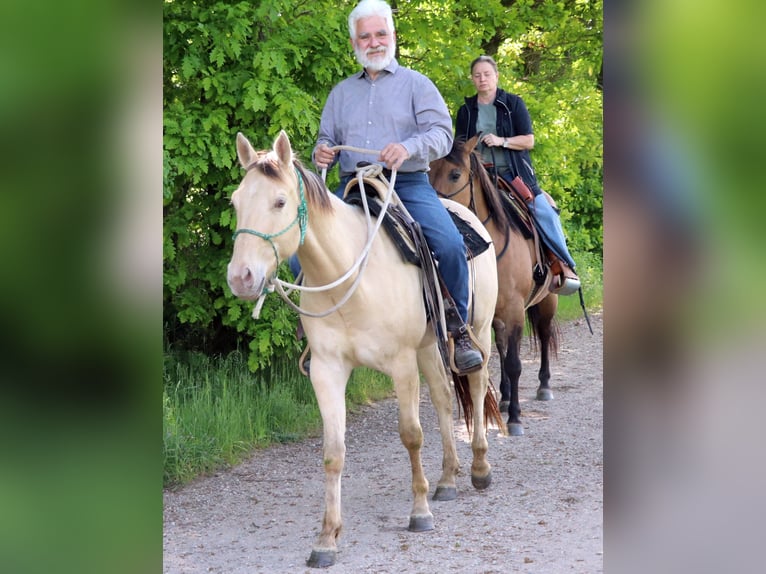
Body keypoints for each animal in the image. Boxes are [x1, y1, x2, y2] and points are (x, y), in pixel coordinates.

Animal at [226, 130, 501, 568]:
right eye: (236, 202)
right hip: (429, 347)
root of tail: (465, 212)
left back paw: (478, 467)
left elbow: (411, 435)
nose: (241, 277)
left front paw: (419, 512)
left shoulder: (401, 365)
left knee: (474, 386)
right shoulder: (327, 371)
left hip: (478, 330)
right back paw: (446, 478)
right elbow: (333, 452)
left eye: (280, 202)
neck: (348, 273)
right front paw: (326, 539)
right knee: (444, 397)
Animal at [429, 135, 560, 436]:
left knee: (544, 334)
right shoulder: (488, 315)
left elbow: (513, 364)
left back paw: (544, 385)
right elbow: (498, 358)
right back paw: (505, 397)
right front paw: (507, 404)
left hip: (548, 300)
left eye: (455, 174)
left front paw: (515, 419)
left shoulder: (514, 312)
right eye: (427, 169)